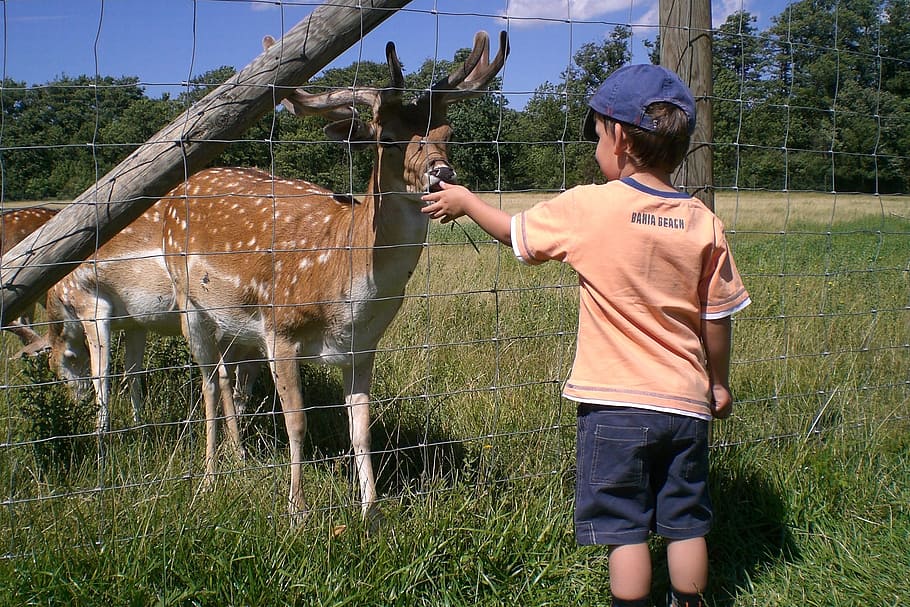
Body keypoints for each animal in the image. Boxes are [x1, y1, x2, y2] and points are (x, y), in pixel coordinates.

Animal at [161, 30, 508, 521]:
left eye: (448, 135)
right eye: (389, 139)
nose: (443, 173)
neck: (346, 292)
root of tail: (181, 187)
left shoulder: (362, 348)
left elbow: (361, 430)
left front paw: (372, 513)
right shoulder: (281, 330)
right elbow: (297, 423)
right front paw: (297, 510)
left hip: (237, 325)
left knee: (230, 383)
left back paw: (239, 459)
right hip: (188, 302)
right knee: (209, 383)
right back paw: (210, 479)